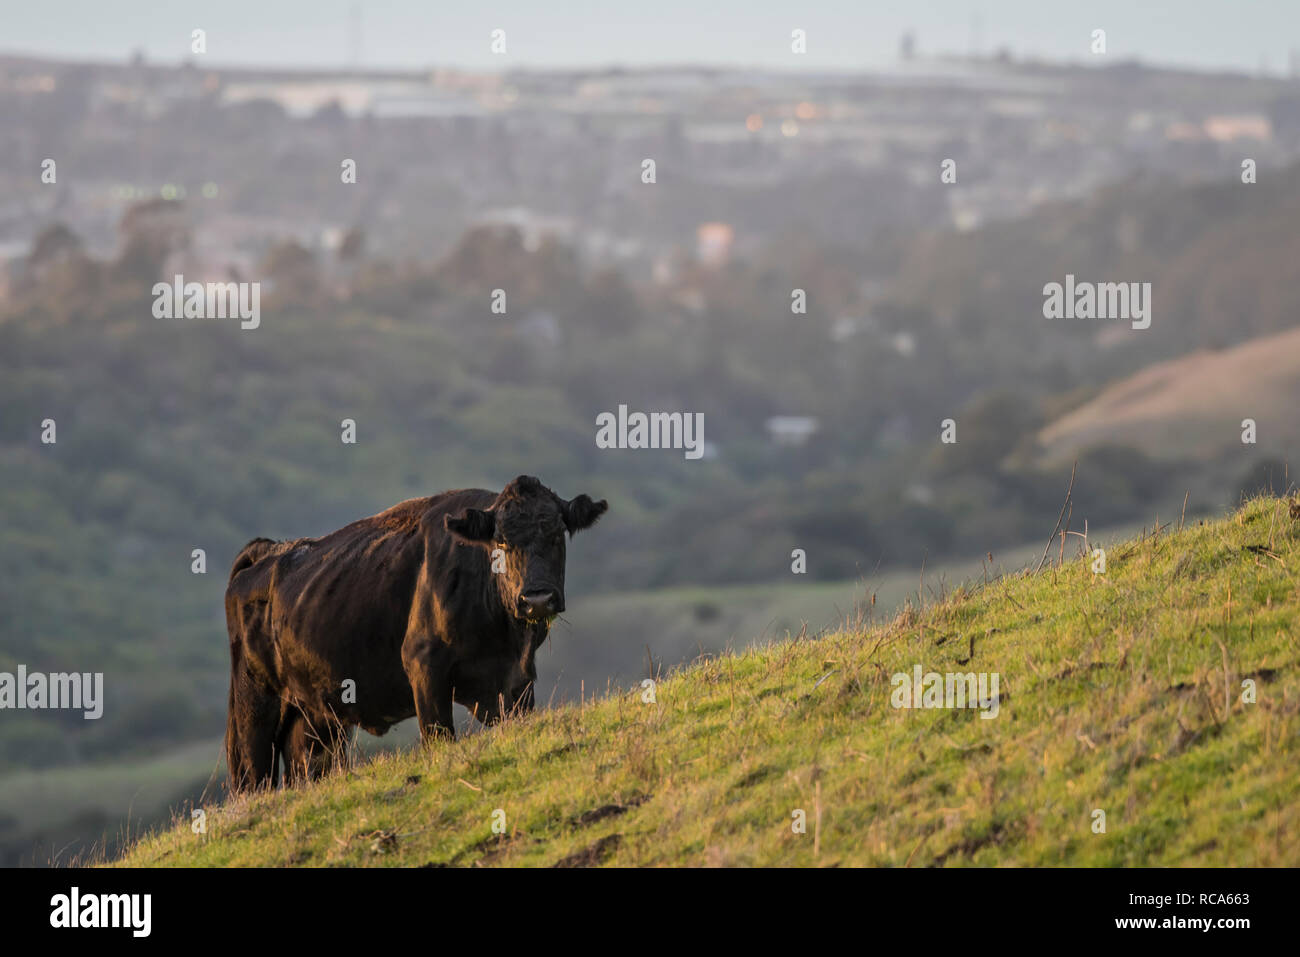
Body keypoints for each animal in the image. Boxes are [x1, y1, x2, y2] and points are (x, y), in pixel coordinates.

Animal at [224, 473, 608, 790]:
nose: (537, 598)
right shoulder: (425, 667)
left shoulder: (517, 684)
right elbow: (439, 738)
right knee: (253, 777)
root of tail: (270, 551)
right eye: (500, 541)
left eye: (557, 535)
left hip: (314, 715)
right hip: (254, 707)